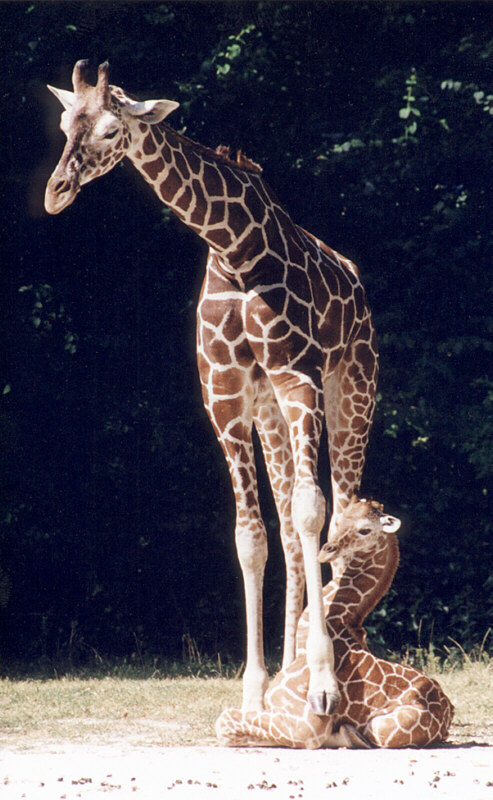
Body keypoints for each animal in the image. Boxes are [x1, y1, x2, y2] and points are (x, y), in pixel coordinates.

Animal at [44, 61, 379, 715]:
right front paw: (255, 693)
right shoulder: (226, 397)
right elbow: (252, 536)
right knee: (286, 519)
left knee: (343, 509)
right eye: (65, 125)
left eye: (109, 130)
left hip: (353, 389)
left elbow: (315, 514)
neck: (235, 248)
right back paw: (288, 670)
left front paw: (326, 684)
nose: (55, 193)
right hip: (270, 414)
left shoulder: (299, 379)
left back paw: (339, 666)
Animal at [216, 497, 454, 749]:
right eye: (338, 522)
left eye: (365, 530)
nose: (326, 550)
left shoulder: (309, 724)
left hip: (381, 727)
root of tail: (447, 714)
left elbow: (224, 721)